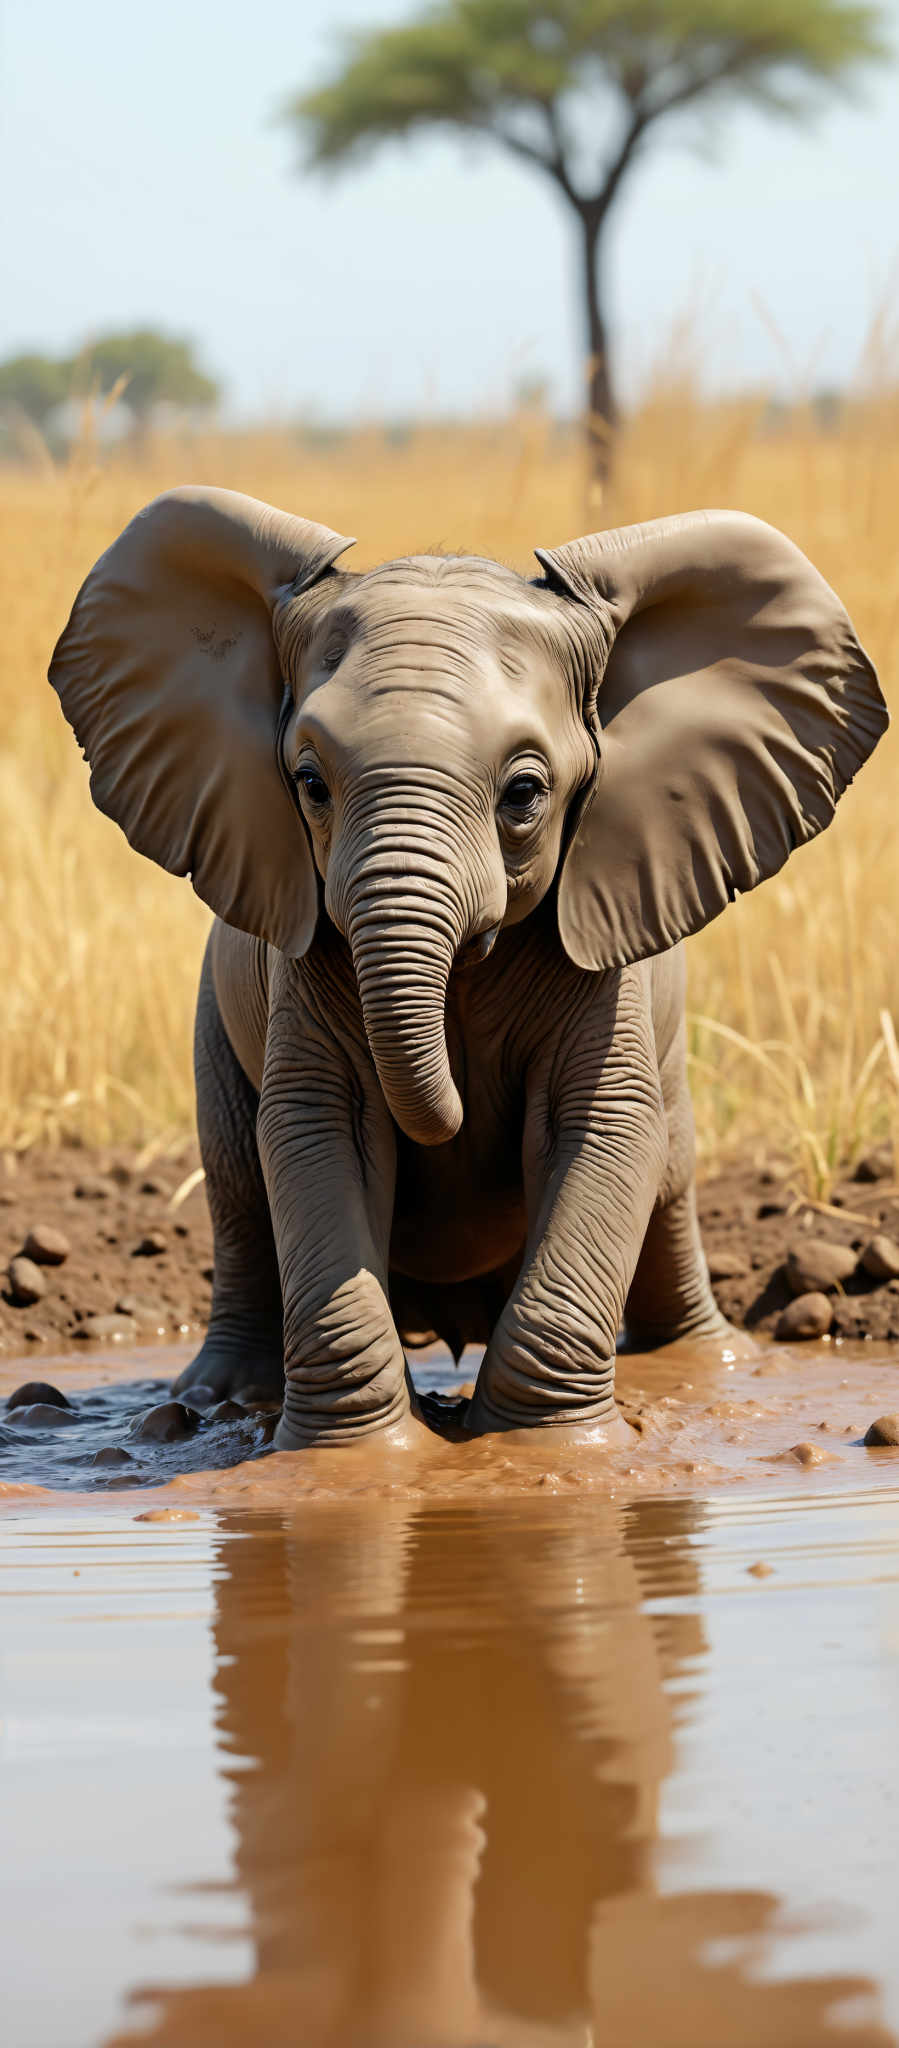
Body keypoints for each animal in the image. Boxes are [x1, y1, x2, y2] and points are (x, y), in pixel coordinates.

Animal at [52, 489, 888, 1458]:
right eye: (308, 783)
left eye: (524, 794)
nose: (451, 1120)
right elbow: (319, 1127)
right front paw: (362, 1460)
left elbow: (599, 1129)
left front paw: (544, 1449)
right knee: (237, 1185)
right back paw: (223, 1396)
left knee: (669, 1182)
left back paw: (701, 1367)